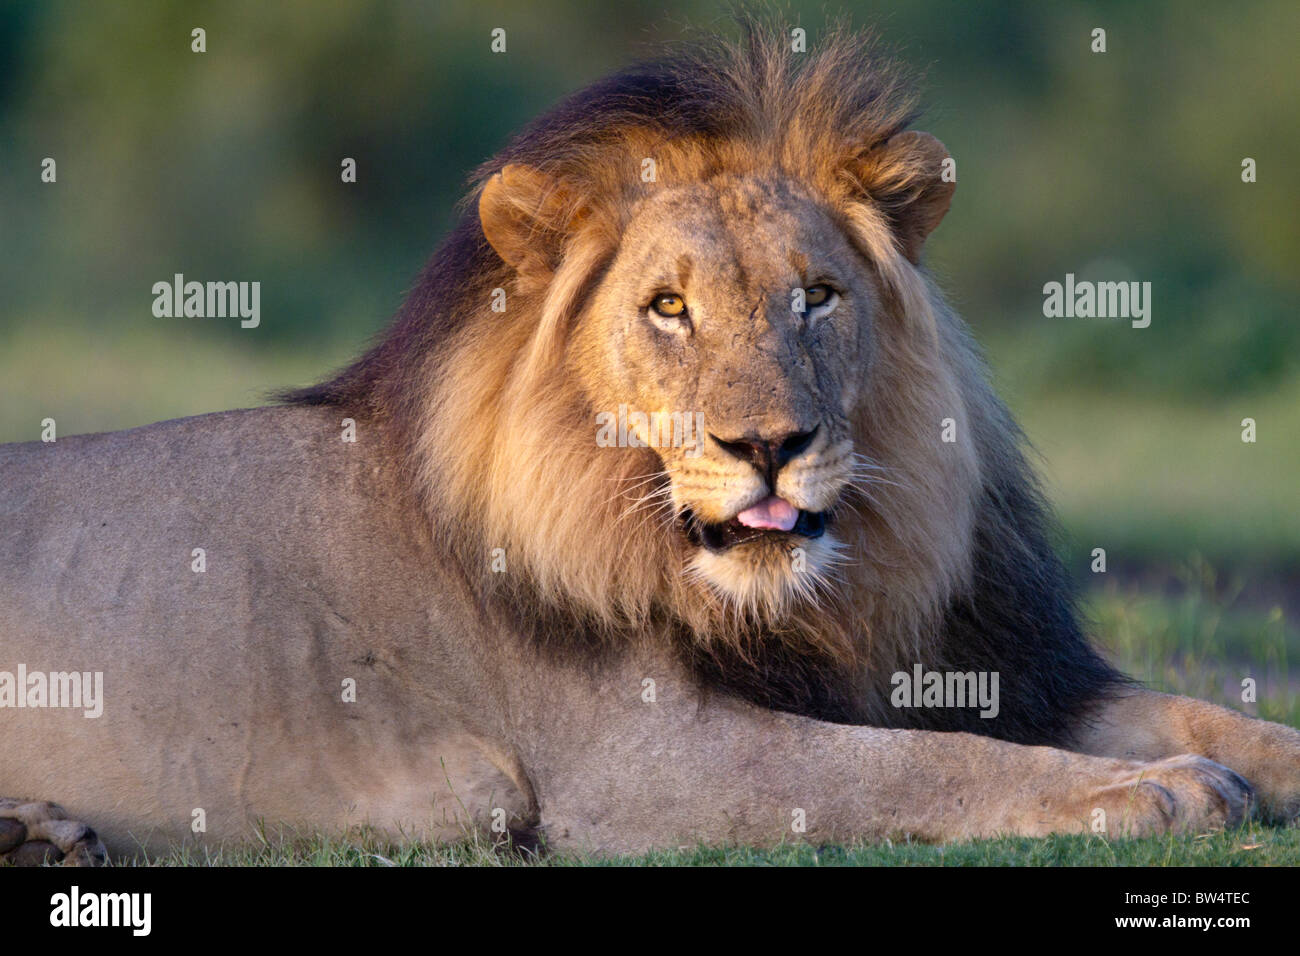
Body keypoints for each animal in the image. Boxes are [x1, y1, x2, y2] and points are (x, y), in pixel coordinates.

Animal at [2, 24, 1300, 868]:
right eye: (666, 307)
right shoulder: (636, 761)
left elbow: (1215, 715)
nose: (768, 442)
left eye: (817, 295)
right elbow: (922, 765)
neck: (800, 604)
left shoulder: (991, 660)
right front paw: (1158, 790)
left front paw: (1216, 761)